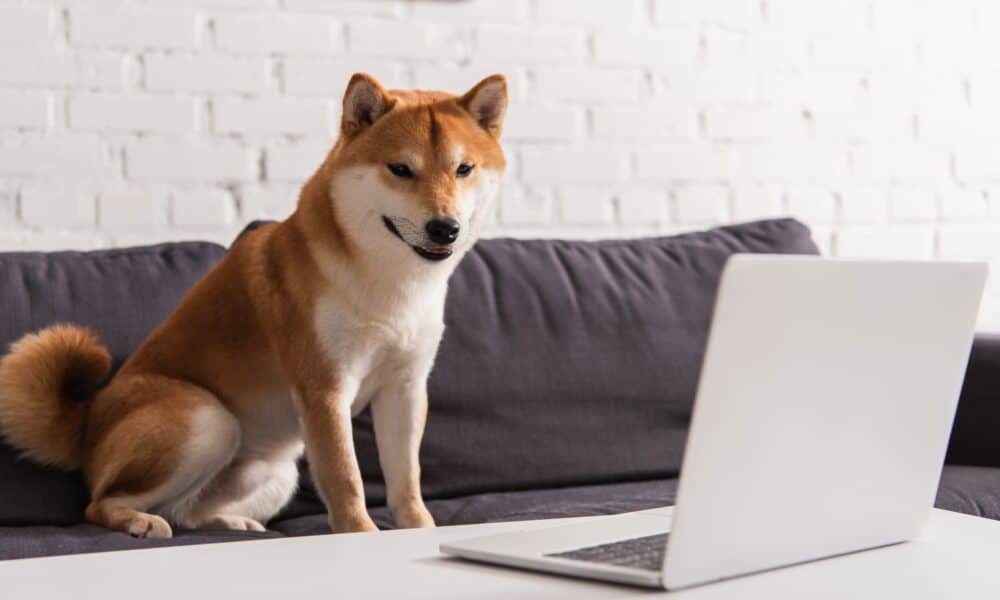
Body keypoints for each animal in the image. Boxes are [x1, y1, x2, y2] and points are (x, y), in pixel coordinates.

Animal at [0, 72, 508, 536]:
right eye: (400, 169)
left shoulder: (404, 389)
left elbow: (406, 478)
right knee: (101, 504)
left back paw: (231, 522)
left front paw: (418, 528)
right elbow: (347, 478)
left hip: (278, 470)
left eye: (464, 169)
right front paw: (360, 535)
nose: (445, 227)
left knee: (185, 512)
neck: (389, 281)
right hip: (208, 420)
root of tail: (86, 425)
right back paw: (138, 520)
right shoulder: (325, 389)